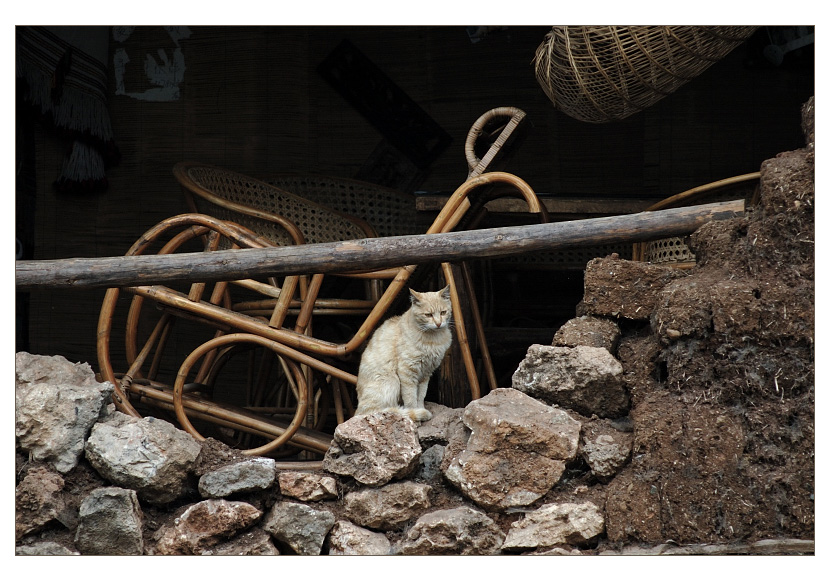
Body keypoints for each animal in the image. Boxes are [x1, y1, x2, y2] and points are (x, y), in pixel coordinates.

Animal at [352, 286, 452, 422]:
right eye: (428, 315)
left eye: (443, 312)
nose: (438, 323)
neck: (433, 339)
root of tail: (357, 410)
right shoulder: (407, 371)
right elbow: (410, 398)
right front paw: (416, 415)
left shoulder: (426, 373)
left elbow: (421, 395)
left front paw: (420, 409)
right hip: (392, 381)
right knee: (377, 411)